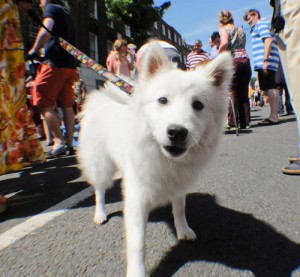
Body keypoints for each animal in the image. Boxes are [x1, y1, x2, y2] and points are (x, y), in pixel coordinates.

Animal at [77, 41, 232, 276]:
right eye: (162, 100)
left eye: (198, 105)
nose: (177, 132)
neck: (165, 158)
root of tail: (100, 103)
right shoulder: (136, 198)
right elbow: (137, 242)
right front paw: (137, 272)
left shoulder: (178, 185)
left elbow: (180, 208)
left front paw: (183, 229)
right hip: (101, 164)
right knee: (100, 189)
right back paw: (100, 213)